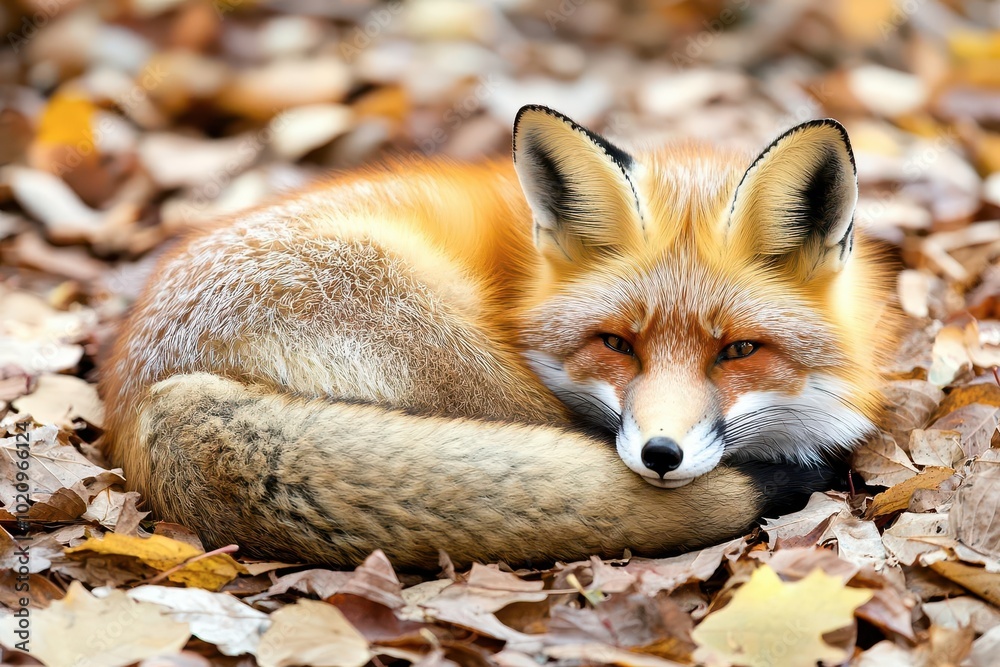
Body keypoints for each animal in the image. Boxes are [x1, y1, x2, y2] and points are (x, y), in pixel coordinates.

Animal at [99, 105, 897, 568]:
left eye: (738, 350)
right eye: (617, 344)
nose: (661, 455)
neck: (522, 279)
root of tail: (143, 398)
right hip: (447, 342)